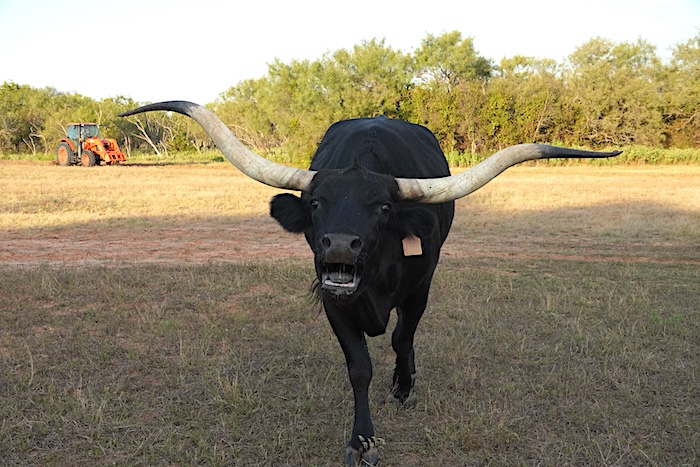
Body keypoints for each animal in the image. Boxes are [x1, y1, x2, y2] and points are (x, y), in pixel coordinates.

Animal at [120, 102, 620, 465]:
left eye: (382, 207)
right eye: (316, 202)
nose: (340, 245)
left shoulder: (421, 289)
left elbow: (402, 337)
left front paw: (403, 387)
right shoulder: (333, 302)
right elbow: (359, 367)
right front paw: (362, 441)